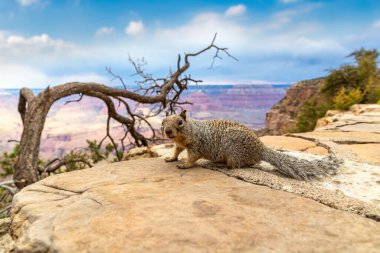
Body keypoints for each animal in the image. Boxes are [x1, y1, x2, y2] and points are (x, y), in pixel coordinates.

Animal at [162, 110, 340, 180]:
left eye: (180, 122)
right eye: (163, 122)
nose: (168, 131)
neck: (189, 130)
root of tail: (261, 149)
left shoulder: (196, 146)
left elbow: (193, 157)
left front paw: (185, 164)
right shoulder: (180, 144)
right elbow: (176, 151)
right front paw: (171, 158)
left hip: (233, 150)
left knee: (238, 165)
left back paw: (220, 165)